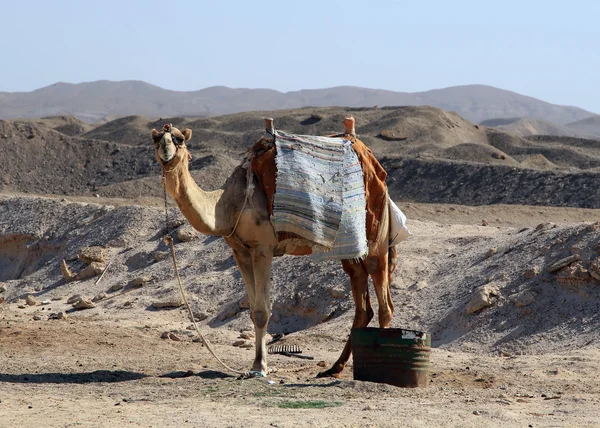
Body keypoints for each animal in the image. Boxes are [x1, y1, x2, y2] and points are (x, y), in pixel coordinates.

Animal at [152, 118, 398, 378]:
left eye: (179, 138)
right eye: (156, 139)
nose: (166, 149)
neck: (228, 205)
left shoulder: (263, 247)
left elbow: (262, 312)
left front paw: (260, 366)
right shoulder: (239, 250)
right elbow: (252, 310)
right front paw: (256, 365)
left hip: (376, 234)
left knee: (384, 301)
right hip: (351, 248)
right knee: (362, 299)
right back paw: (334, 367)